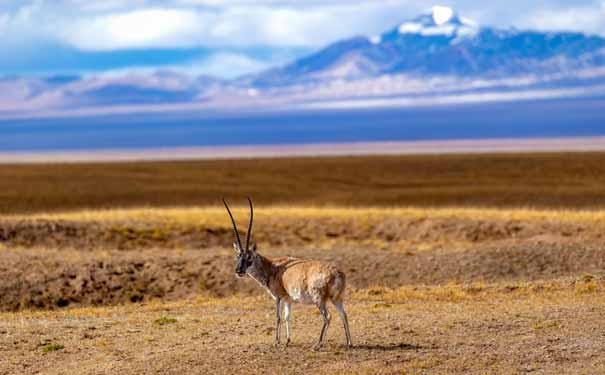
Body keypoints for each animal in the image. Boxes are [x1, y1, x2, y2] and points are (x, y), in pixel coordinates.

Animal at [224, 198, 352, 352]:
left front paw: (276, 341)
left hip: (319, 299)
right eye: (238, 256)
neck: (272, 267)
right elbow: (287, 317)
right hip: (337, 299)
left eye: (249, 257)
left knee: (328, 316)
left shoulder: (278, 297)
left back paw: (318, 344)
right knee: (343, 315)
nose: (239, 271)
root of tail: (337, 273)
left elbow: (278, 317)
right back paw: (349, 343)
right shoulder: (288, 300)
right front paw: (287, 341)